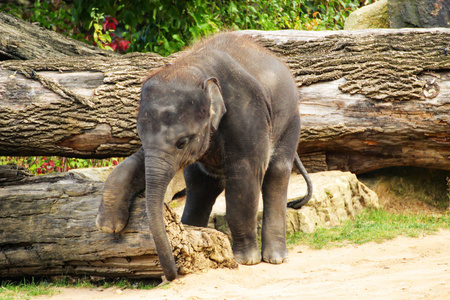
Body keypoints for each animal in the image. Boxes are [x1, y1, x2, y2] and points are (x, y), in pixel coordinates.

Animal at [96, 32, 312, 282]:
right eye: (139, 134)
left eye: (182, 142)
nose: (173, 274)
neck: (193, 68)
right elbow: (136, 161)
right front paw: (108, 226)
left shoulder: (248, 115)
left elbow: (245, 177)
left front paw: (245, 260)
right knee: (201, 184)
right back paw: (191, 229)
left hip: (290, 120)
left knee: (276, 174)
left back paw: (275, 258)